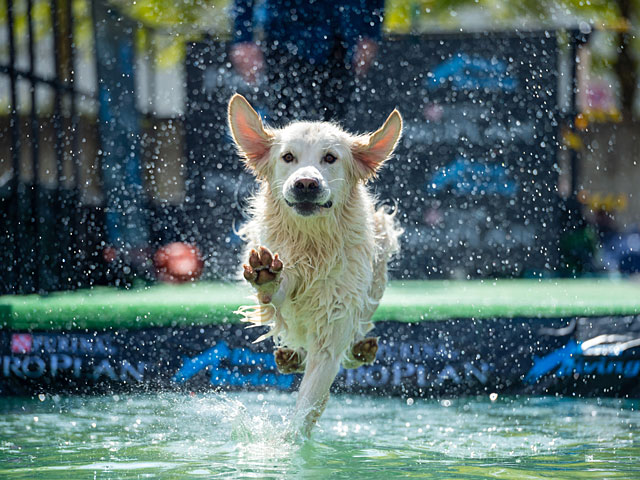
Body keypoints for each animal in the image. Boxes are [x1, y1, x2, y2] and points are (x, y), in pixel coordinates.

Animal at [228, 94, 402, 436]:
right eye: (288, 157)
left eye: (330, 158)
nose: (306, 183)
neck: (312, 245)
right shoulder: (285, 273)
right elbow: (276, 294)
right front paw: (266, 276)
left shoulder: (334, 325)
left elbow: (311, 398)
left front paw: (289, 442)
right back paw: (290, 356)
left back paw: (359, 350)